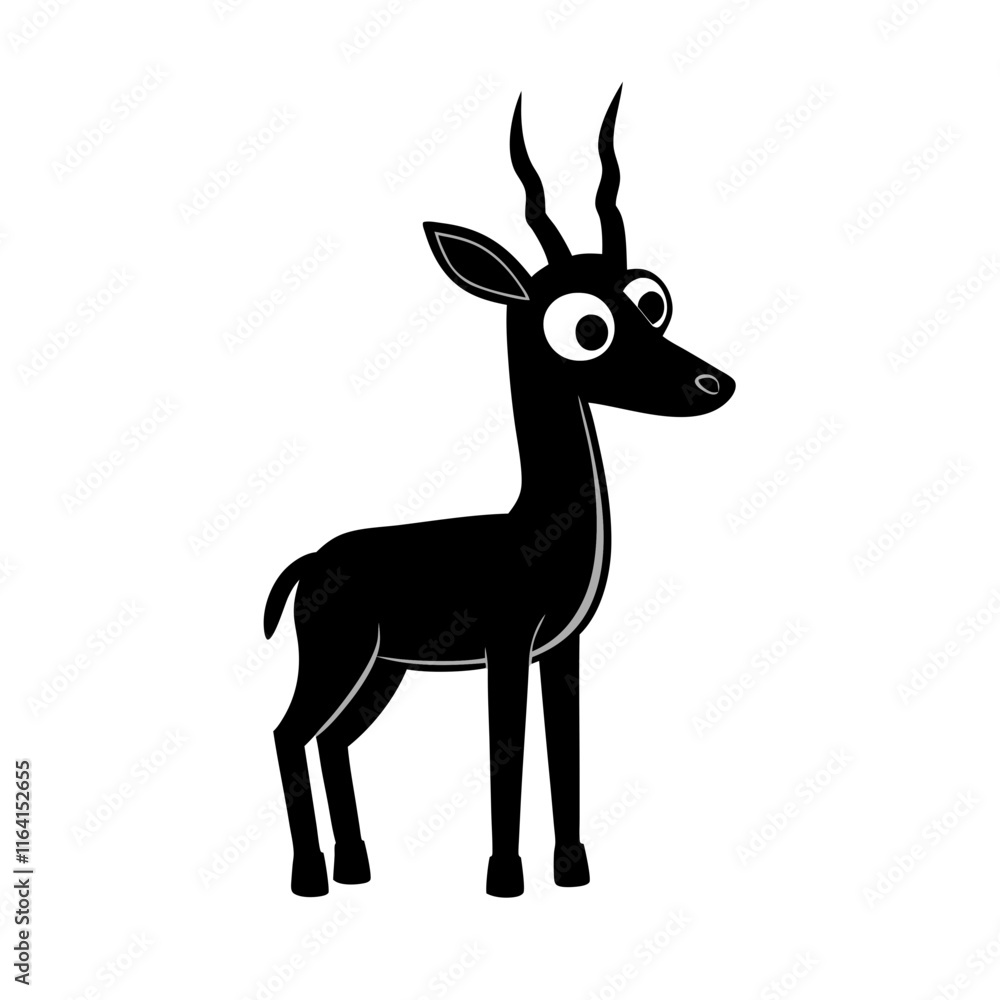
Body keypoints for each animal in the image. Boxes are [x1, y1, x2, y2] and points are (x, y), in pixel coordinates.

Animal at [263, 85, 735, 898]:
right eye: (586, 326)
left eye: (652, 301)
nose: (714, 383)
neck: (533, 532)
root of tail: (312, 560)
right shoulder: (509, 645)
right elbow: (506, 750)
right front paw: (505, 880)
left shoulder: (563, 649)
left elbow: (564, 752)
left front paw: (572, 872)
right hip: (337, 660)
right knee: (288, 733)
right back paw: (311, 879)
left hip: (381, 674)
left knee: (333, 742)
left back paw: (356, 869)